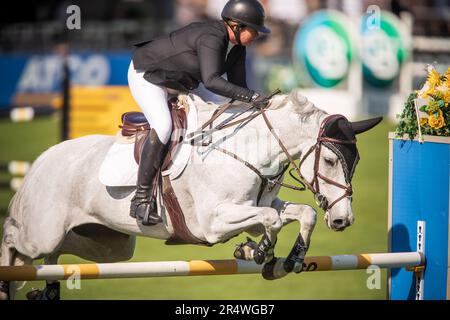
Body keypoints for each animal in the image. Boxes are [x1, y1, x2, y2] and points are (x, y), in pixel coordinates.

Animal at [0, 89, 382, 298]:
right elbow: (271, 219)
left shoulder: (257, 204)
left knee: (54, 254)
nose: (343, 220)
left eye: (356, 162)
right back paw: (9, 281)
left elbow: (301, 213)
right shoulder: (212, 223)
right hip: (41, 233)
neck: (246, 150)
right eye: (330, 160)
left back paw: (42, 287)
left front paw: (284, 261)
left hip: (108, 245)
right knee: (13, 240)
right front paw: (256, 251)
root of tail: (41, 161)